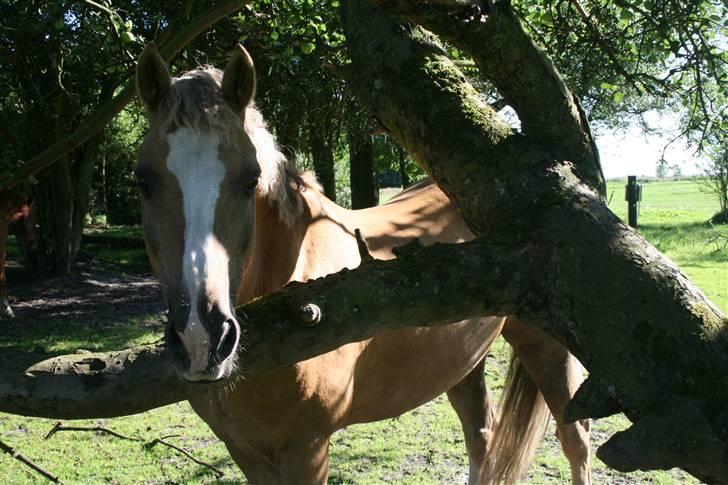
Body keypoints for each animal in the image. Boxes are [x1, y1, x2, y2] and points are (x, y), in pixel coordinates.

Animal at [135, 43, 591, 484]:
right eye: (143, 180)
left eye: (251, 179)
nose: (201, 337)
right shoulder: (245, 451)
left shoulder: (307, 449)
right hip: (463, 361)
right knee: (482, 436)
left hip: (546, 346)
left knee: (575, 440)